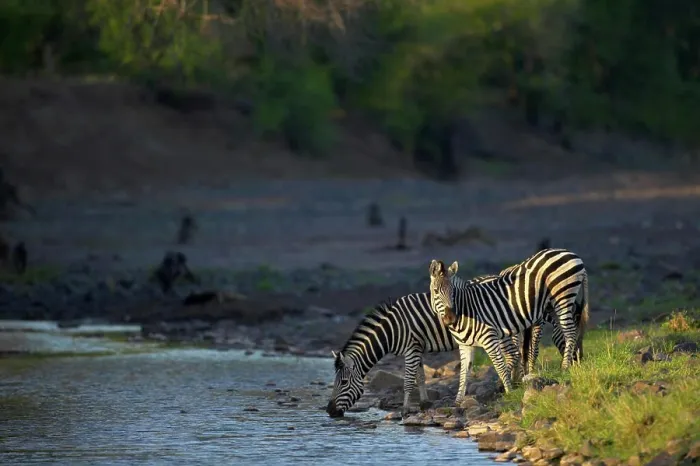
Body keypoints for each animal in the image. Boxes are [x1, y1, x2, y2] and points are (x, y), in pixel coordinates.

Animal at [326, 290, 524, 418]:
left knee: (512, 355)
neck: (393, 330)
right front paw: (424, 403)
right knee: (517, 354)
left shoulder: (411, 349)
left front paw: (405, 410)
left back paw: (503, 386)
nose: (329, 411)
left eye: (343, 382)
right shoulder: (416, 349)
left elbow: (408, 380)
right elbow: (420, 377)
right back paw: (516, 382)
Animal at [428, 248, 589, 401]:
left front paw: (509, 392)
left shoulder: (489, 338)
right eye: (436, 291)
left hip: (562, 296)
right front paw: (458, 401)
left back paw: (564, 368)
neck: (466, 309)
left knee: (569, 332)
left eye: (453, 292)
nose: (450, 318)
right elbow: (463, 374)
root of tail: (571, 253)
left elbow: (500, 365)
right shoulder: (465, 346)